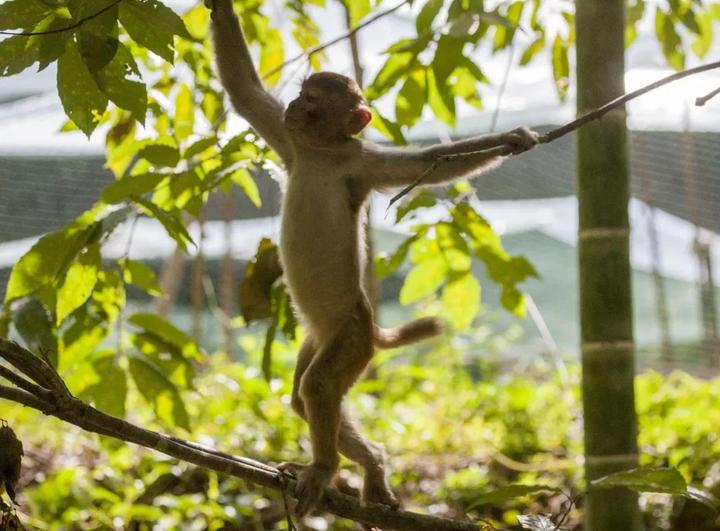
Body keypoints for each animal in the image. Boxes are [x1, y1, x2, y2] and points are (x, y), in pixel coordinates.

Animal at [205, 0, 536, 516]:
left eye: (312, 99)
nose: (294, 108)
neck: (322, 153)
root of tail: (368, 327)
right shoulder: (290, 143)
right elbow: (245, 92)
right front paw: (220, 10)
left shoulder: (361, 164)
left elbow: (429, 164)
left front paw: (511, 138)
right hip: (321, 338)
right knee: (304, 398)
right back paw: (369, 462)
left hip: (352, 336)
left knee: (318, 389)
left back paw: (329, 468)